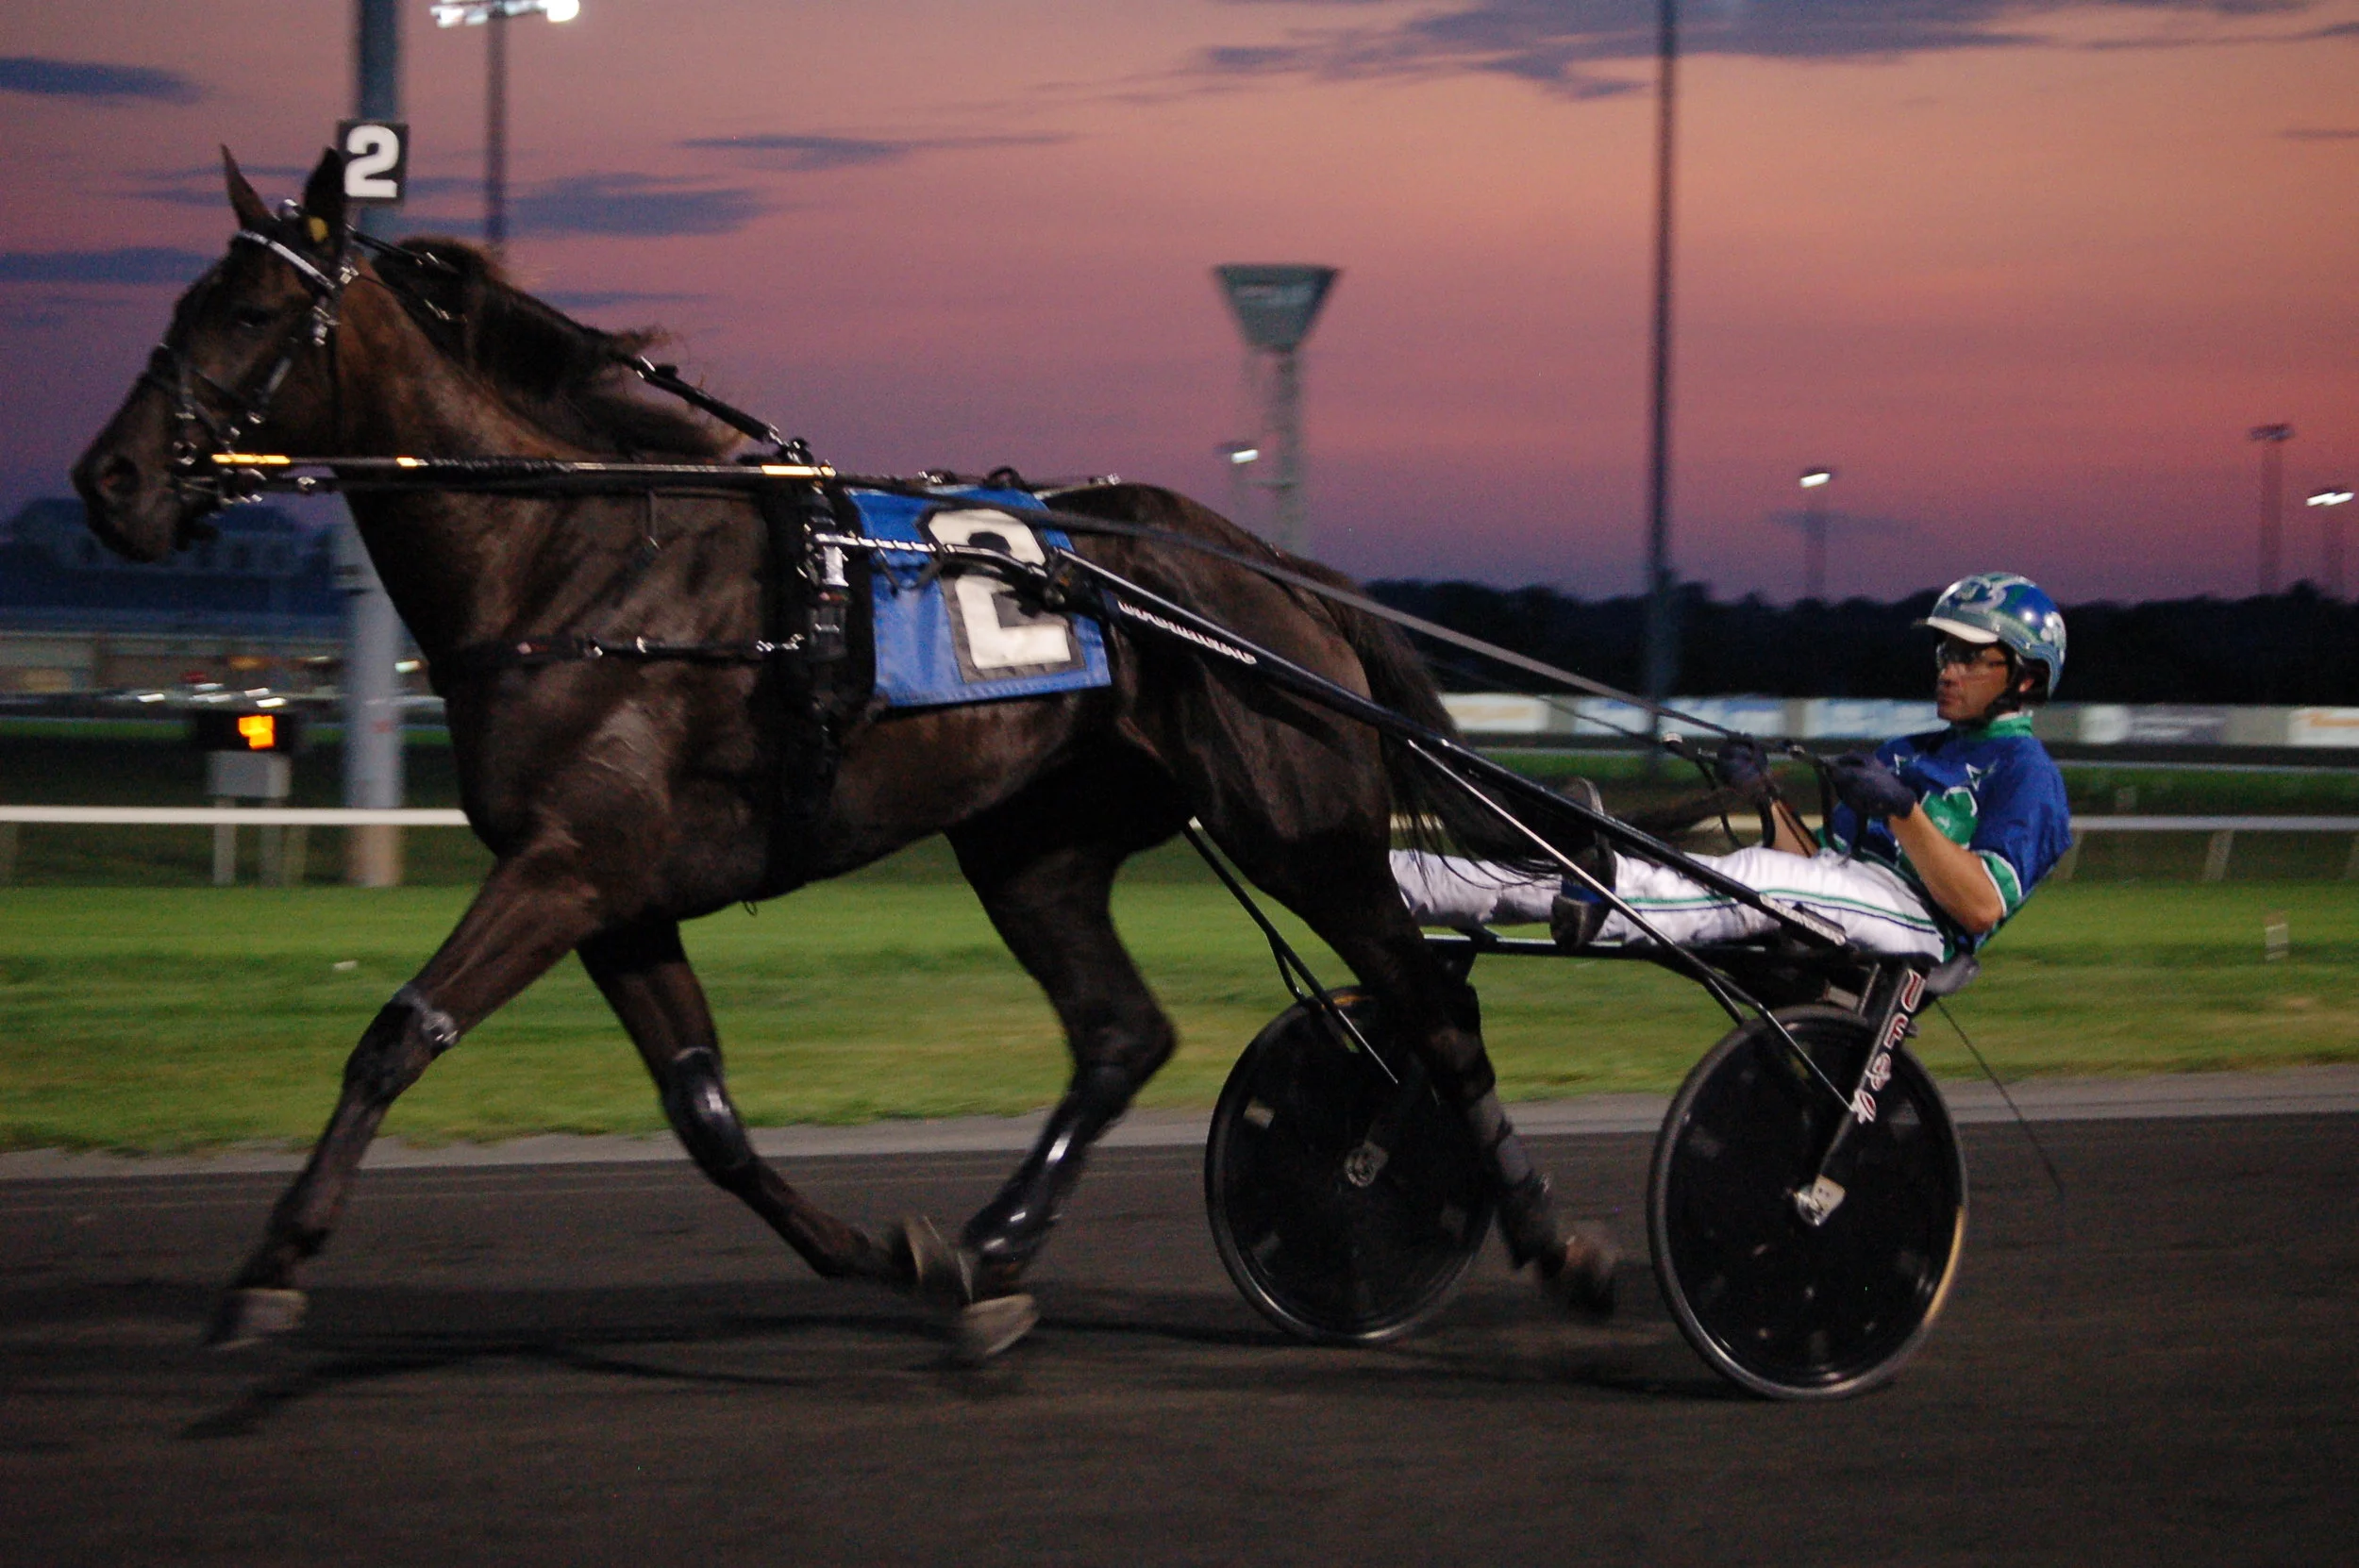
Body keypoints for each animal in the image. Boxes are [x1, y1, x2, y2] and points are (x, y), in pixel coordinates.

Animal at [72, 148, 1615, 1359]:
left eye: (251, 310)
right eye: (181, 304)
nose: (109, 481)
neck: (571, 560)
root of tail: (1266, 569)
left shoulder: (571, 866)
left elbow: (399, 1033)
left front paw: (271, 1267)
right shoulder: (614, 894)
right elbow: (707, 1115)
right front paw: (904, 1262)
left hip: (1301, 829)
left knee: (1430, 1014)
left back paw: (1558, 1246)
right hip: (1034, 843)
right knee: (1124, 1032)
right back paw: (992, 1248)